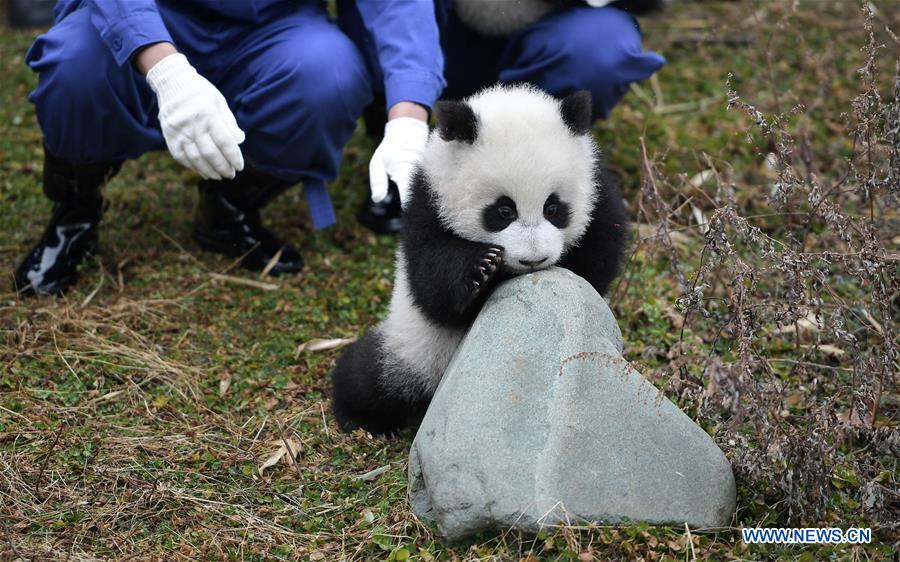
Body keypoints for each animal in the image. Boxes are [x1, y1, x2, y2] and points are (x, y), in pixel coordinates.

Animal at [331, 85, 628, 436]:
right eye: (503, 211)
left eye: (554, 208)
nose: (534, 259)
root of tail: (431, 393)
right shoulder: (428, 203)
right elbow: (431, 286)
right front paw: (481, 268)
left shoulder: (597, 193)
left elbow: (599, 262)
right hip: (411, 345)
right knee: (367, 375)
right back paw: (363, 417)